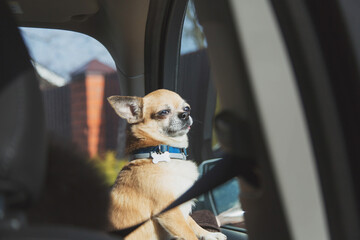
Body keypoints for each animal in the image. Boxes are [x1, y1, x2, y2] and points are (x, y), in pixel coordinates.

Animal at [107, 89, 226, 239]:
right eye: (163, 112)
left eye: (187, 108)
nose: (186, 114)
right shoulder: (171, 213)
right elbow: (189, 233)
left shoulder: (182, 209)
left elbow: (192, 223)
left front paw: (209, 234)